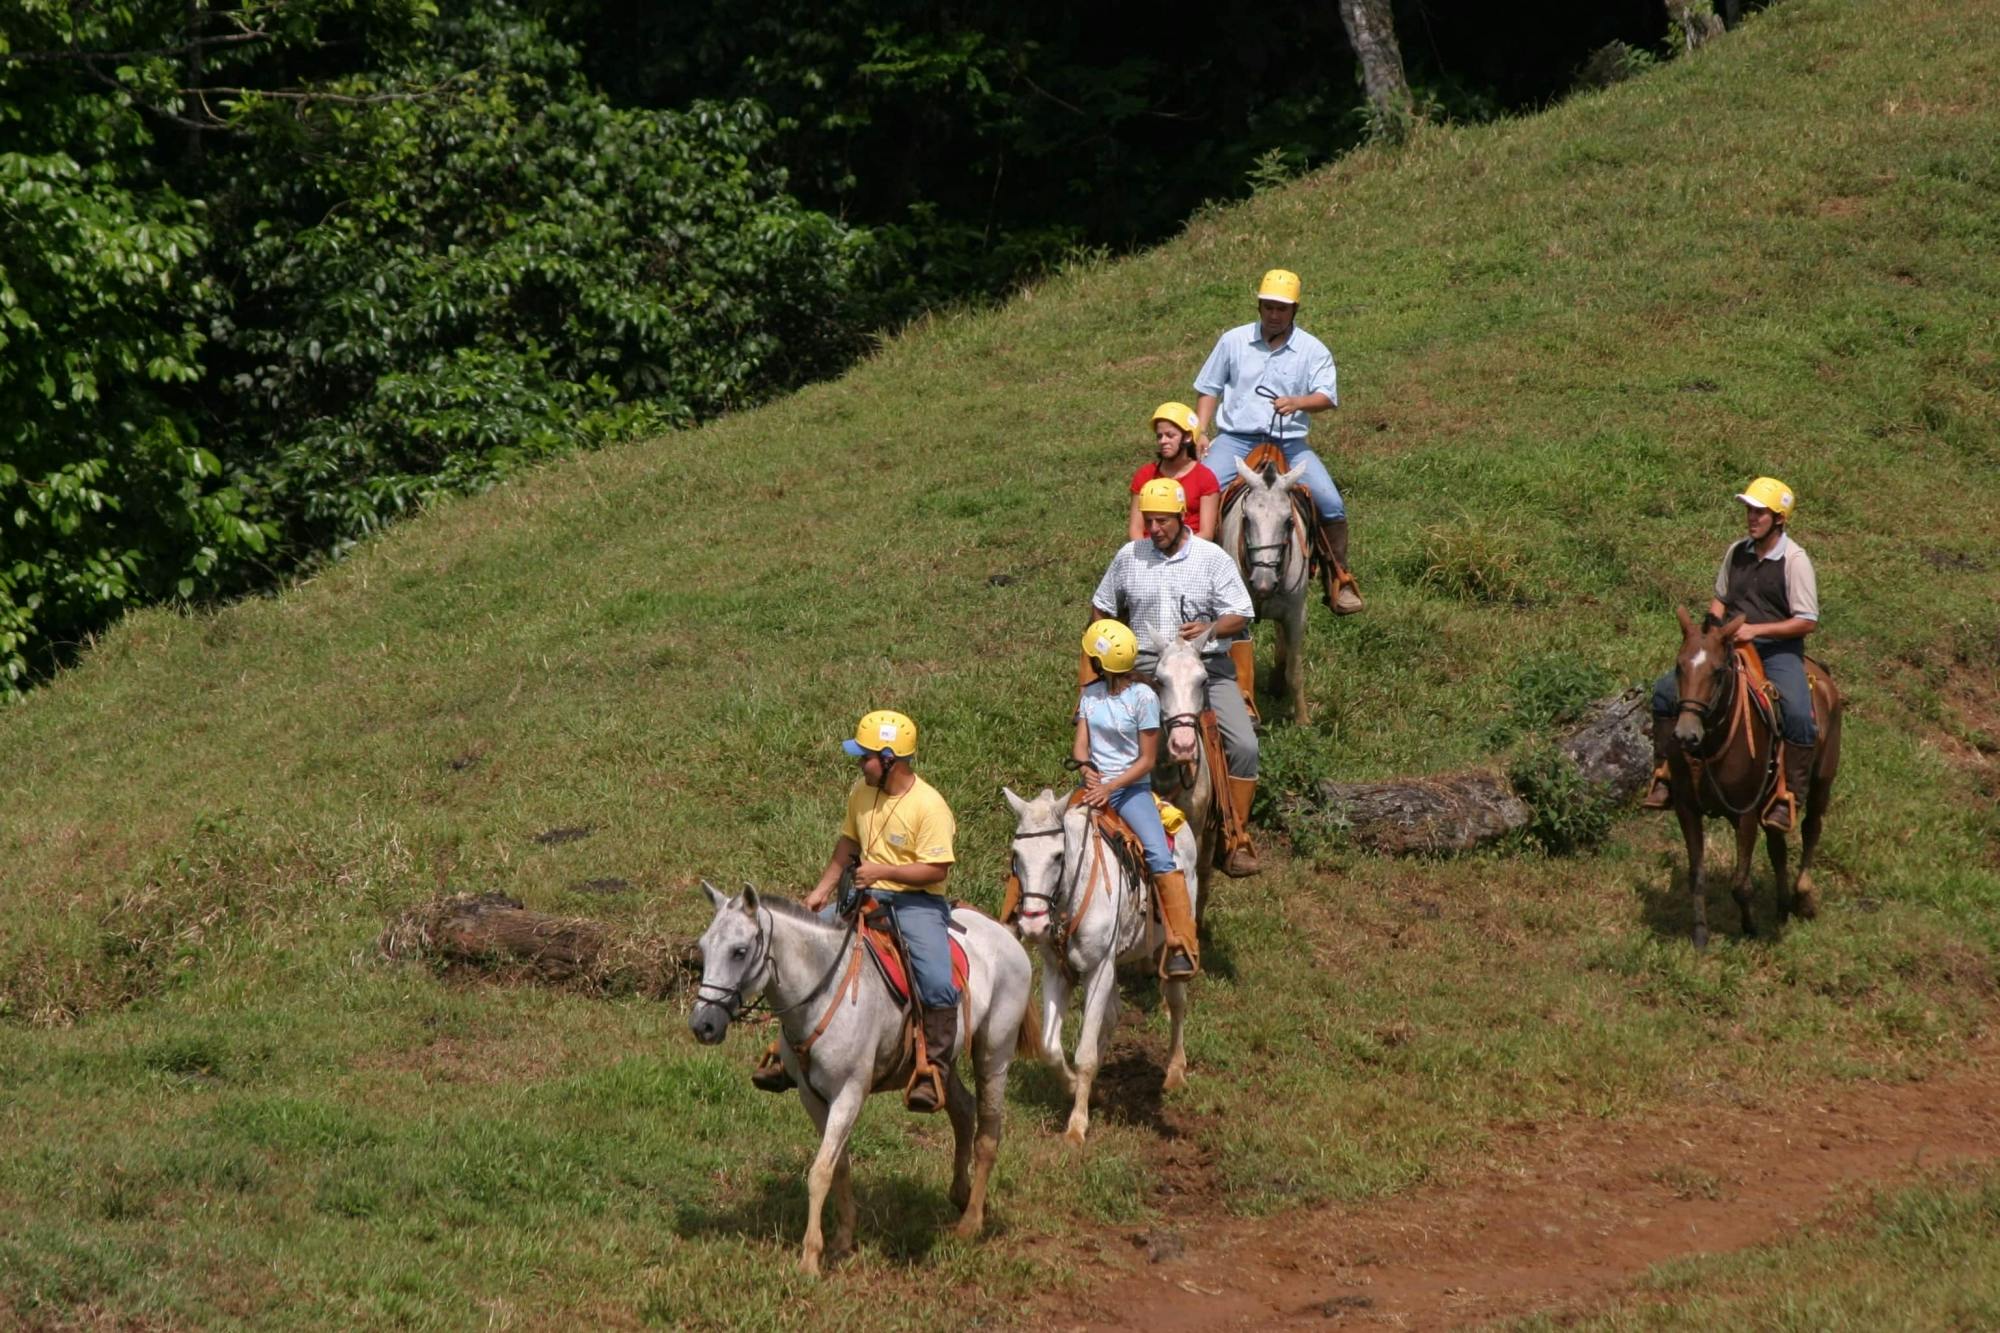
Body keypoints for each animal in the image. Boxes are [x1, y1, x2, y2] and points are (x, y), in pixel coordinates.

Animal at [688, 876, 1032, 1272]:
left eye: (740, 951)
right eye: (704, 947)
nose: (702, 1025)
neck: (824, 991)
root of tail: (1005, 934)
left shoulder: (849, 1093)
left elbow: (820, 1171)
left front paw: (810, 1258)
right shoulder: (812, 1096)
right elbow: (838, 1166)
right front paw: (842, 1239)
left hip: (994, 1053)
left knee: (988, 1134)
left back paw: (970, 1223)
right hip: (943, 1066)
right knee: (962, 1110)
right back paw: (960, 1196)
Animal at [1008, 784, 1192, 1136]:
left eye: (1058, 856)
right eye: (1016, 855)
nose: (1033, 925)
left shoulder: (1098, 970)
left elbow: (1085, 1055)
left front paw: (1077, 1126)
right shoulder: (1057, 971)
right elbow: (1051, 1048)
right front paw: (1074, 1089)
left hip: (1166, 947)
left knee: (1176, 1002)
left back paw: (1175, 1071)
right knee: (1112, 1015)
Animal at [1208, 462, 1320, 720]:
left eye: (1289, 521)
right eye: (1247, 519)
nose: (1263, 583)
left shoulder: (1296, 615)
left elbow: (1295, 669)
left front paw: (1302, 719)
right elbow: (1241, 663)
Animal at [1656, 608, 1840, 948]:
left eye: (1717, 672)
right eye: (1678, 666)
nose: (1686, 735)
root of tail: (1821, 675)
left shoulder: (1745, 815)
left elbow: (1740, 884)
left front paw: (1750, 929)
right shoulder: (1687, 809)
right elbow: (1696, 876)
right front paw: (1700, 935)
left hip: (1822, 781)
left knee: (1811, 828)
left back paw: (1803, 899)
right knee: (1778, 845)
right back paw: (1782, 907)